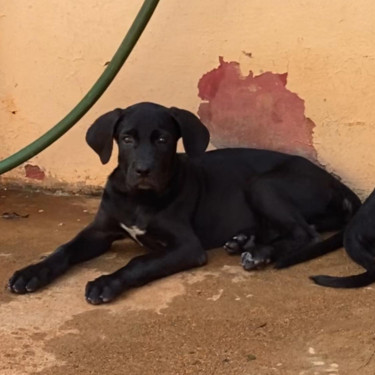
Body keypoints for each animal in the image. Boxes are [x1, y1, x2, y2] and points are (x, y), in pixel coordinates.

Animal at [8, 103, 362, 306]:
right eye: (126, 139)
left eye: (163, 139)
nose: (144, 170)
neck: (139, 197)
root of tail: (339, 184)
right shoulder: (99, 232)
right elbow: (63, 249)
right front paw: (31, 273)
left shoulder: (187, 247)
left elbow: (139, 262)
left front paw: (107, 282)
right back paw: (243, 241)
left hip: (263, 184)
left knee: (305, 233)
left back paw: (259, 253)